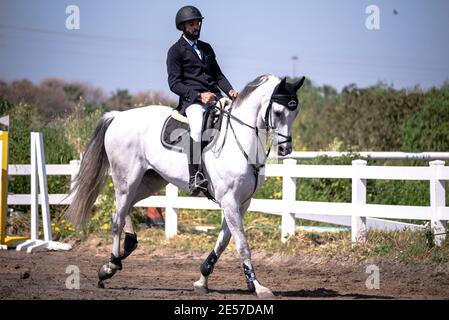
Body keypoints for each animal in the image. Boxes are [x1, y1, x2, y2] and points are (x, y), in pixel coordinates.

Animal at [65, 73, 304, 298]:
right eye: (278, 112)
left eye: (295, 112)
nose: (285, 150)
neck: (242, 142)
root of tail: (118, 116)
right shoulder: (229, 200)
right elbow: (242, 245)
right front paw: (257, 286)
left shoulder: (242, 203)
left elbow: (224, 240)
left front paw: (203, 279)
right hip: (126, 180)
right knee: (118, 218)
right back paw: (111, 265)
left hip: (151, 181)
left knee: (121, 212)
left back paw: (121, 254)